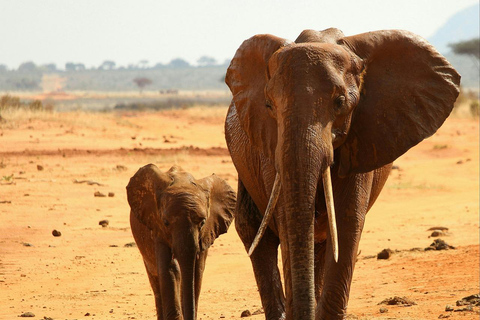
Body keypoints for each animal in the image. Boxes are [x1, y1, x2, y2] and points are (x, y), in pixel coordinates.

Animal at [125, 165, 234, 320]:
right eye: (166, 222)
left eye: (202, 222)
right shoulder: (157, 227)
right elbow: (170, 268)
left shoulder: (206, 232)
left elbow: (196, 271)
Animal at [225, 28, 462, 320]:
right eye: (269, 105)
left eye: (340, 102)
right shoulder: (271, 147)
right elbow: (287, 221)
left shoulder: (363, 138)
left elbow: (346, 221)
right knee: (255, 230)